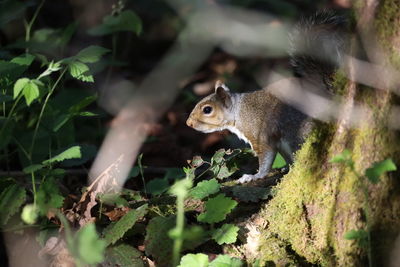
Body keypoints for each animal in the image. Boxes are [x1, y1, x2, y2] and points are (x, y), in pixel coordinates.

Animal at [186, 12, 346, 184]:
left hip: (296, 130)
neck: (239, 111)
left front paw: (254, 176)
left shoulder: (260, 135)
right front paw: (285, 168)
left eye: (207, 109)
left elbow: (266, 159)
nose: (188, 123)